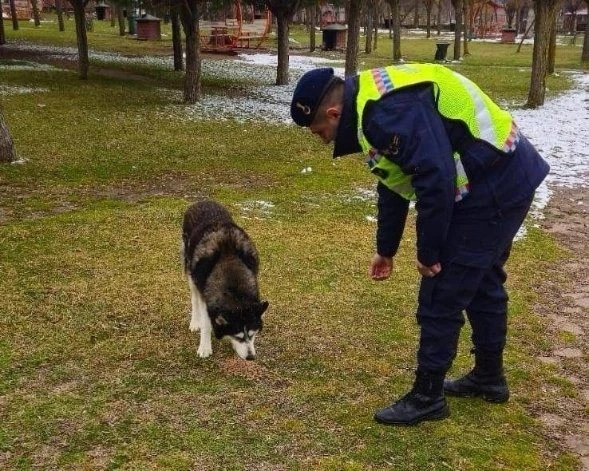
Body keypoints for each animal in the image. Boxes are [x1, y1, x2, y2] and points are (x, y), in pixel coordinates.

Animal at [181, 200, 268, 362]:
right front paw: (205, 347)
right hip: (190, 271)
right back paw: (195, 322)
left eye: (253, 334)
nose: (251, 357)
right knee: (194, 299)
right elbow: (206, 324)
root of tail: (202, 201)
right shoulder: (206, 297)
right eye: (238, 337)